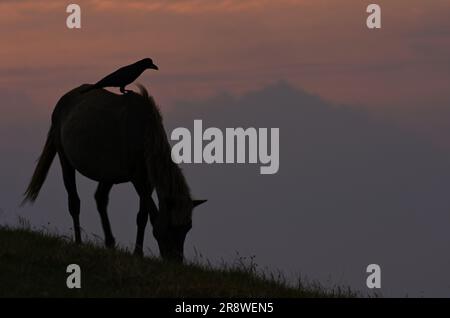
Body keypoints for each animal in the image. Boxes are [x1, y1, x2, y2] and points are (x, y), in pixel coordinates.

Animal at [23, 84, 207, 260]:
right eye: (170, 226)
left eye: (187, 227)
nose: (175, 259)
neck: (144, 132)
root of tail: (61, 102)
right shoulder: (137, 179)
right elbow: (147, 213)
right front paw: (137, 252)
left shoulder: (148, 181)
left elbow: (142, 216)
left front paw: (138, 252)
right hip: (65, 158)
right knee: (74, 201)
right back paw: (79, 242)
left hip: (107, 173)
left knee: (100, 198)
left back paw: (110, 242)